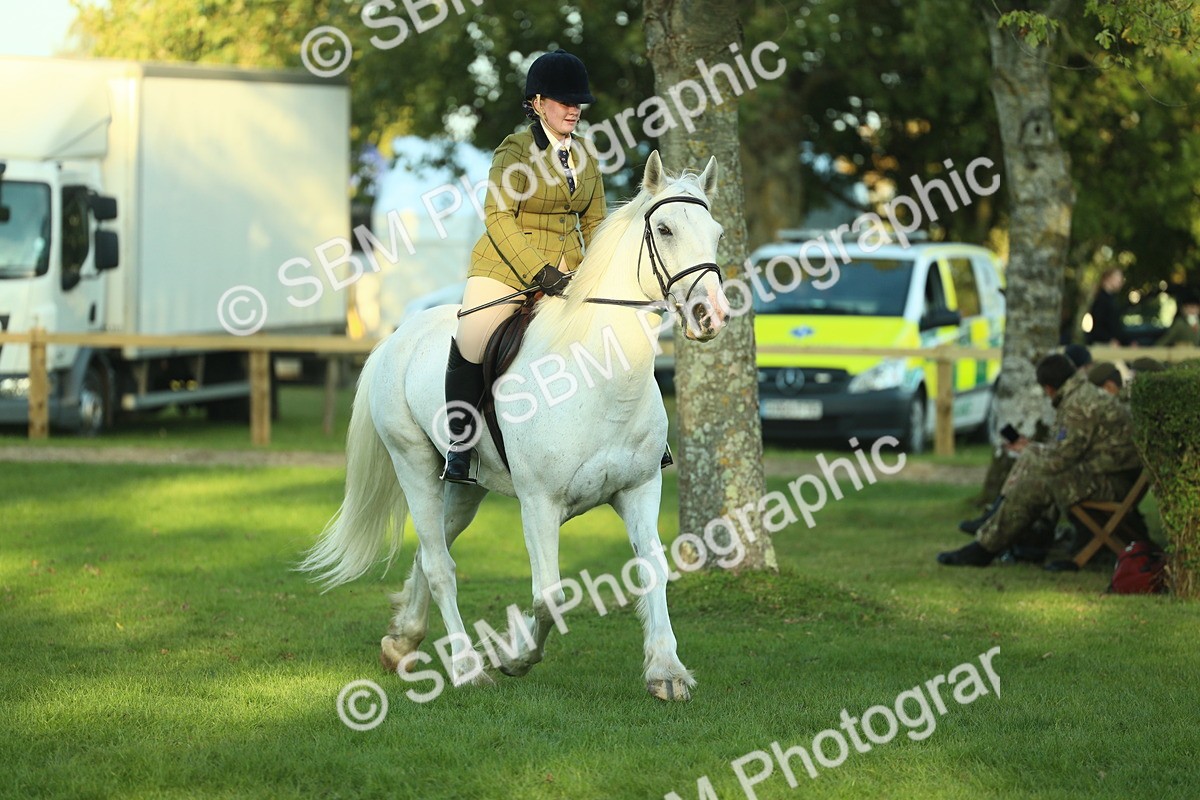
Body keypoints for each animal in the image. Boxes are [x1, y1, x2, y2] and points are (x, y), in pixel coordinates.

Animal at [301, 151, 729, 701]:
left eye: (717, 233)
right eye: (665, 228)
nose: (710, 315)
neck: (601, 378)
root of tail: (397, 337)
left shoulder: (639, 488)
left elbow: (653, 570)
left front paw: (666, 671)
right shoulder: (540, 504)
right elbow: (551, 596)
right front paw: (515, 657)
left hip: (465, 487)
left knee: (430, 550)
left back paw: (402, 643)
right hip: (411, 462)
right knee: (439, 565)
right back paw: (466, 667)